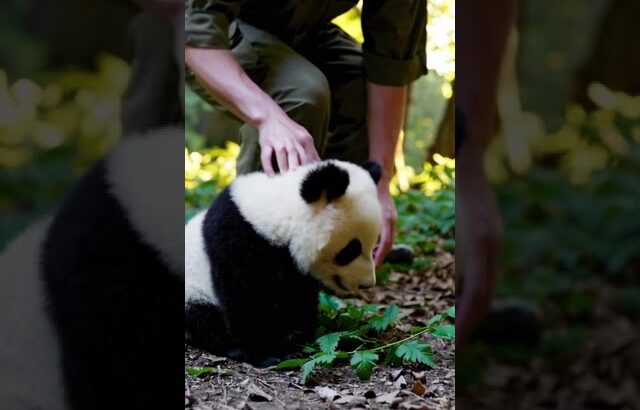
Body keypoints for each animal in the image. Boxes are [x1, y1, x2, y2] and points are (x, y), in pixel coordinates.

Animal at [185, 159, 384, 366]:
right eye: (351, 249)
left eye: (374, 245)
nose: (367, 283)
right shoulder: (236, 239)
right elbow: (244, 296)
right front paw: (271, 352)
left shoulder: (293, 267)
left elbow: (298, 295)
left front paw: (302, 334)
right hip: (193, 288)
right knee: (203, 317)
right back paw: (230, 346)